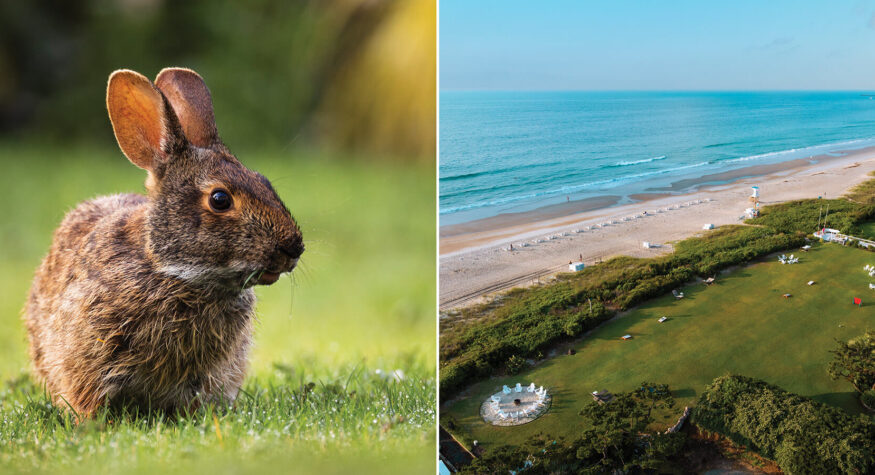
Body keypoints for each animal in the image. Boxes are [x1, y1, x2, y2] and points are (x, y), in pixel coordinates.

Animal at [23, 68, 304, 417]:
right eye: (220, 199)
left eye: (264, 181)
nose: (294, 248)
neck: (171, 270)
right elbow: (87, 397)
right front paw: (96, 423)